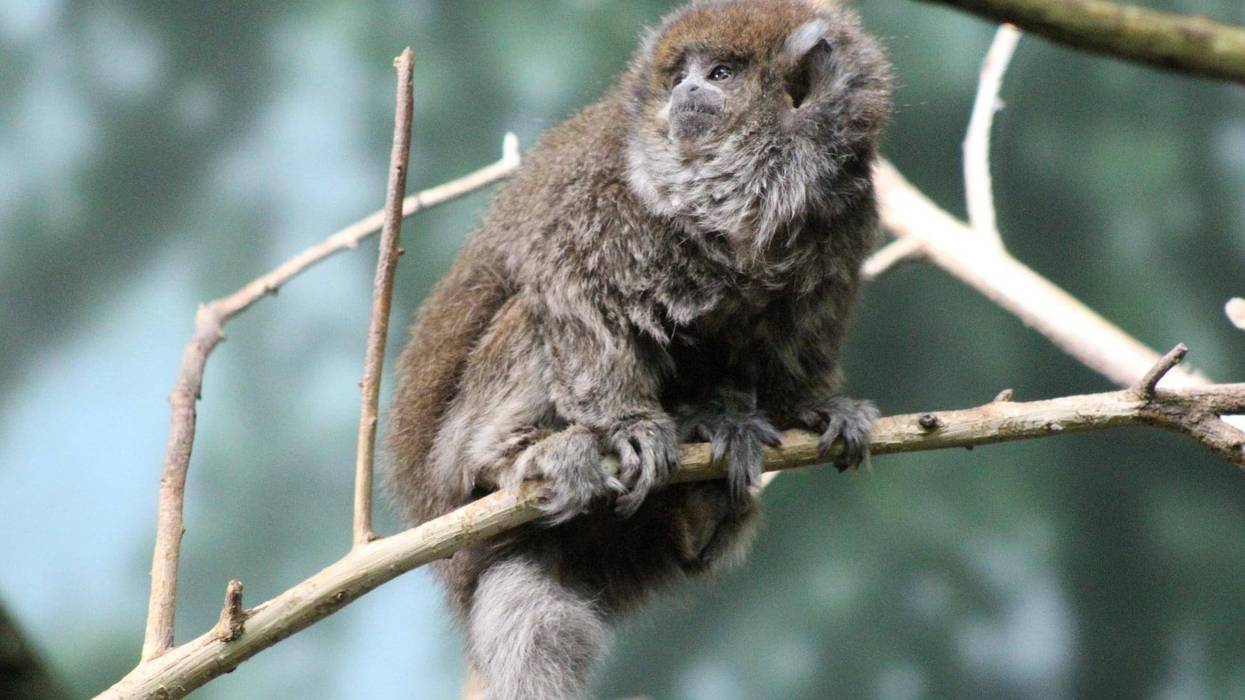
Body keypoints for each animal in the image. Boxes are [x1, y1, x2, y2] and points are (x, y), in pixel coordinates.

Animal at [385, 1, 892, 697]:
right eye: (681, 75)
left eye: (721, 73)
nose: (685, 93)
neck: (755, 190)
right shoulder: (616, 196)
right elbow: (571, 286)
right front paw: (629, 424)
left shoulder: (846, 211)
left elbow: (796, 332)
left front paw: (807, 407)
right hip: (446, 474)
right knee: (532, 315)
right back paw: (509, 456)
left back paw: (705, 481)